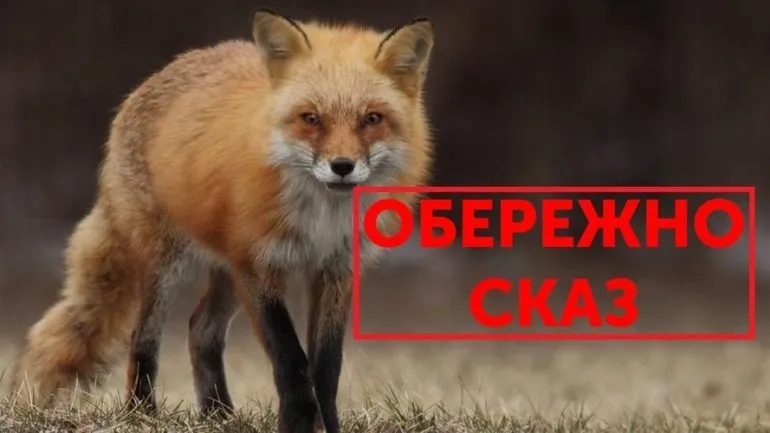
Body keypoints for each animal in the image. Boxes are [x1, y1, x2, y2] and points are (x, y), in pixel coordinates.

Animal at [8, 9, 435, 433]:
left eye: (372, 118)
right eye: (311, 118)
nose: (342, 166)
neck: (320, 218)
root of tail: (161, 73)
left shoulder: (336, 270)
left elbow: (326, 367)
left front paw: (326, 424)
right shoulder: (258, 265)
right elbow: (290, 358)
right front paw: (297, 422)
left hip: (227, 272)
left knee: (200, 330)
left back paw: (218, 414)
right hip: (170, 267)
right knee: (142, 337)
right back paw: (142, 413)